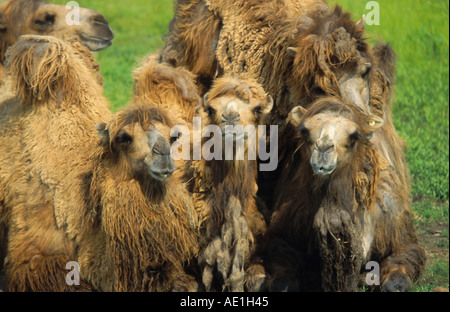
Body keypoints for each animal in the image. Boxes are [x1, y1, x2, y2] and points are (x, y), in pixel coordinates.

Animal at [258, 97, 428, 292]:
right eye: (305, 130)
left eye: (354, 135)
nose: (324, 149)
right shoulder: (283, 230)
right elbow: (281, 276)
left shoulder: (398, 230)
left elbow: (397, 275)